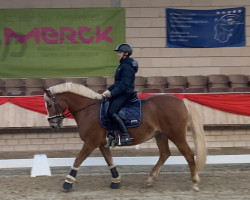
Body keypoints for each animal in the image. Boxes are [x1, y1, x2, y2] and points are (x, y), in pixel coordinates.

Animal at [44, 83, 206, 192]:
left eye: (49, 104)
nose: (53, 124)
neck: (88, 110)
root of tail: (182, 101)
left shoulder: (91, 143)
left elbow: (78, 160)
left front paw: (67, 183)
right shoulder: (102, 144)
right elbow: (110, 162)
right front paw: (116, 181)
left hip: (176, 135)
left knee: (189, 155)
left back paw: (195, 183)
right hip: (161, 135)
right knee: (165, 154)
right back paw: (150, 179)